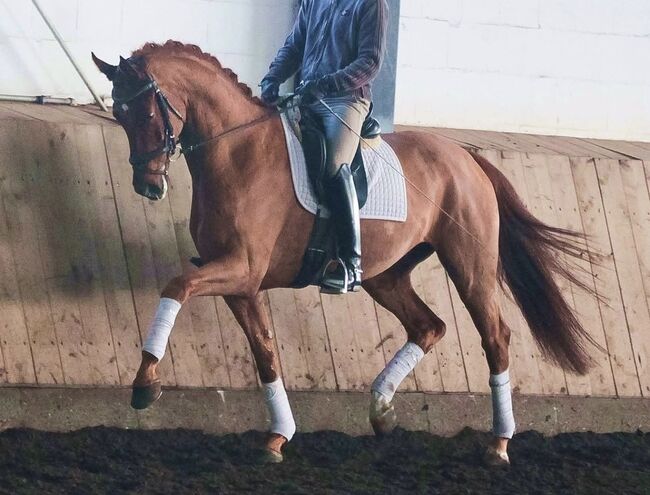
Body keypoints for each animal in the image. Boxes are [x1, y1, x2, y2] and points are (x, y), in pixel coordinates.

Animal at [92, 41, 597, 465]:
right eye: (119, 114)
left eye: (148, 115)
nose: (148, 186)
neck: (236, 152)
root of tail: (466, 156)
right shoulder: (242, 284)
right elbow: (265, 352)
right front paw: (278, 437)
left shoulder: (240, 270)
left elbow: (177, 285)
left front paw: (145, 386)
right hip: (385, 275)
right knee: (428, 326)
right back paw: (381, 410)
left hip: (469, 268)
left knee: (495, 338)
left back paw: (498, 445)